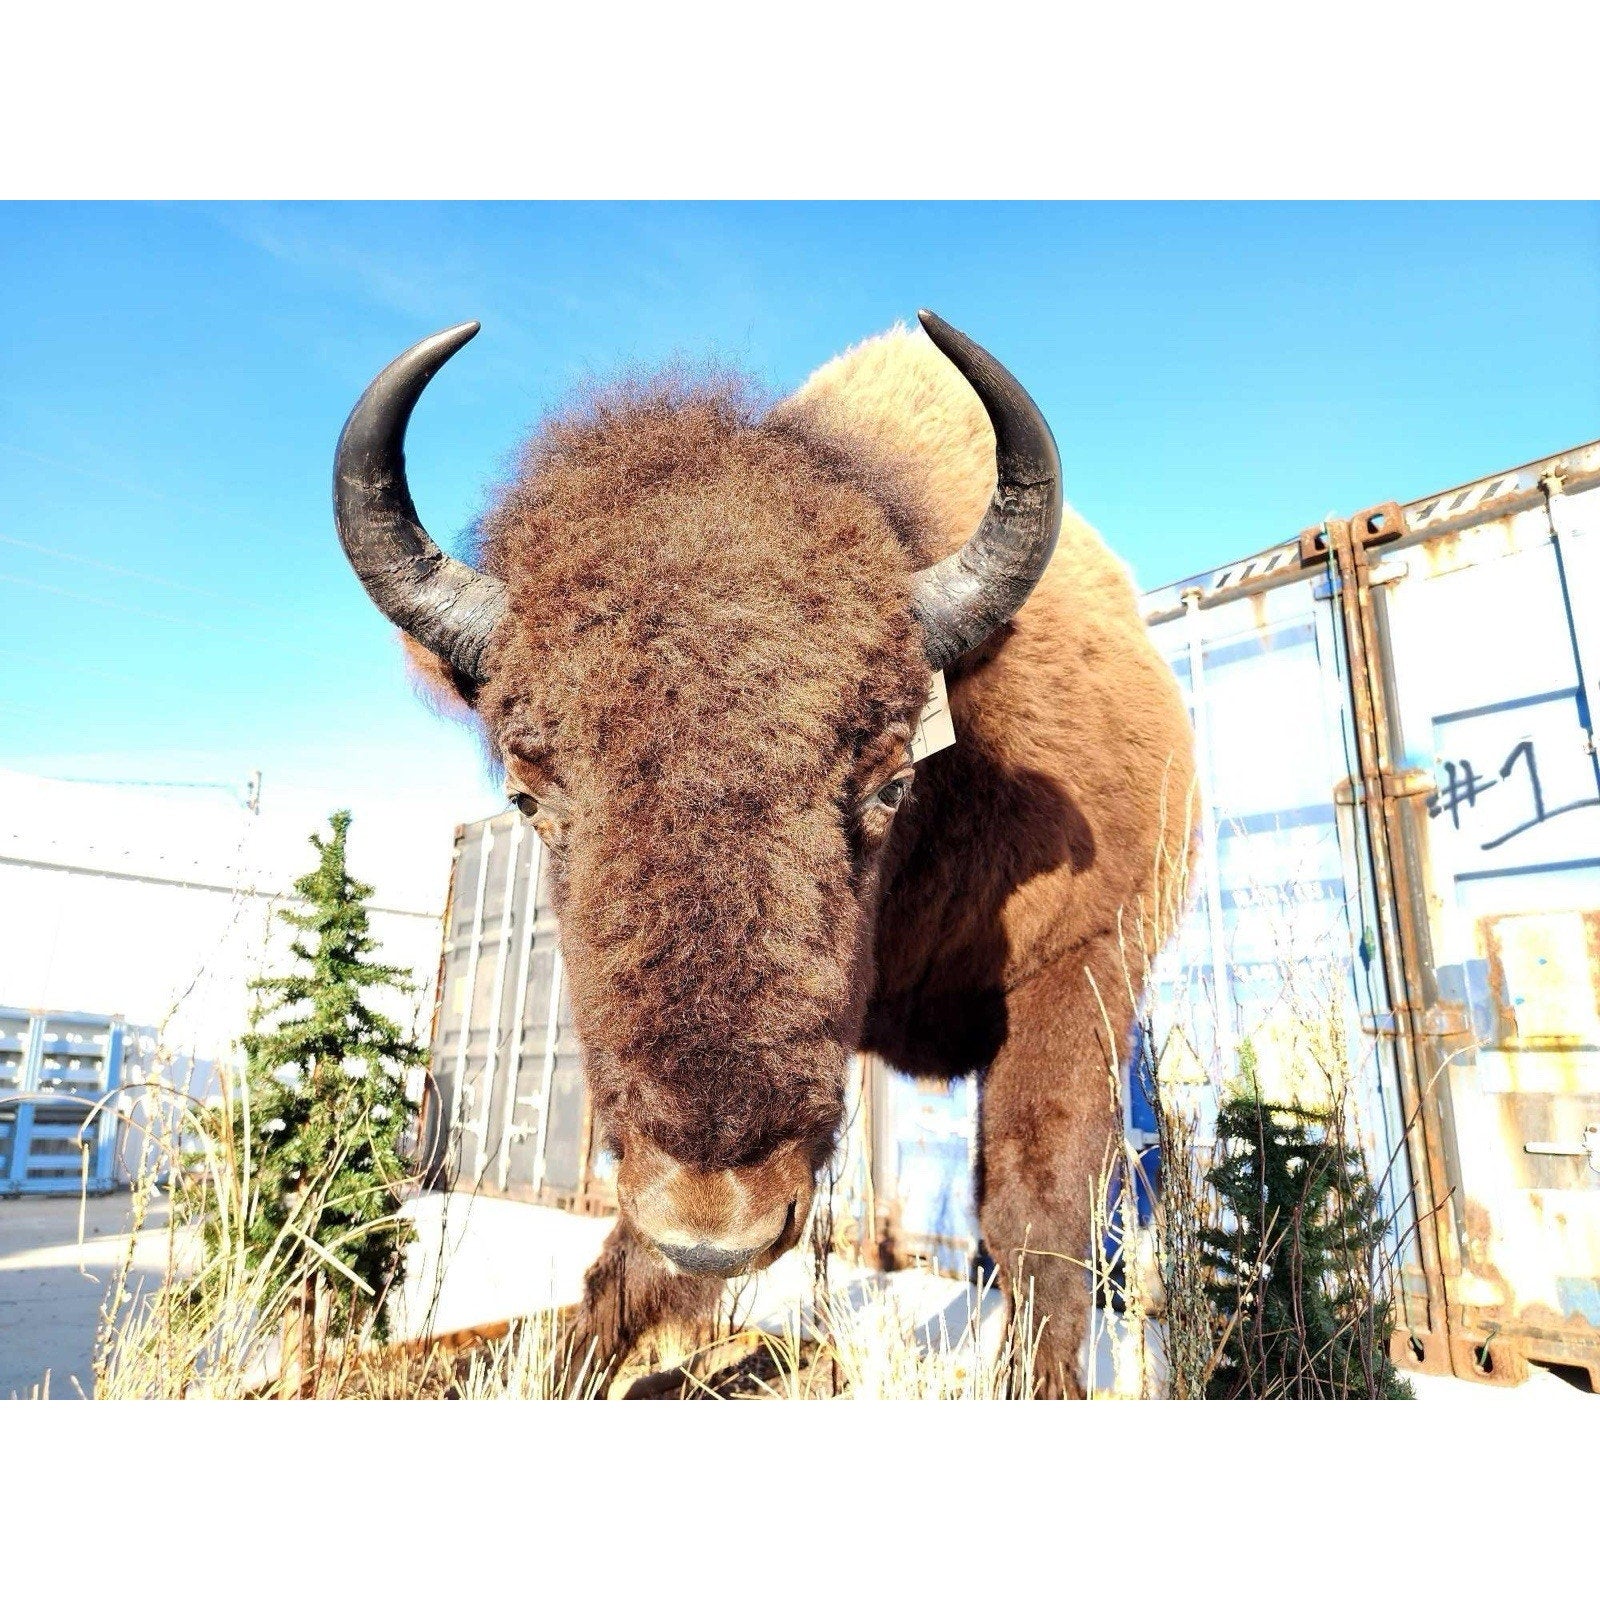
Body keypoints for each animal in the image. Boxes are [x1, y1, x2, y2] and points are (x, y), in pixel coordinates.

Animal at [333, 312, 1196, 1396]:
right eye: (529, 795)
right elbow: (627, 1263)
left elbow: (1037, 1210)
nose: (714, 1225)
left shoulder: (1079, 967)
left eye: (888, 780)